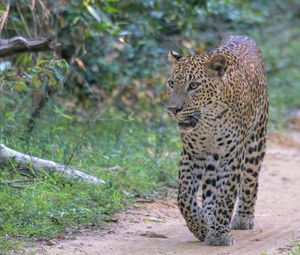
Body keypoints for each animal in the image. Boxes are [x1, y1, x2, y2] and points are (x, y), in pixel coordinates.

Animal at [165, 34, 268, 246]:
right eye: (171, 83)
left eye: (194, 85)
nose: (173, 109)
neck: (209, 120)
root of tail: (242, 35)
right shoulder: (192, 155)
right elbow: (184, 197)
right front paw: (202, 226)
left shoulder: (231, 156)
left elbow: (226, 196)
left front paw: (219, 236)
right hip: (212, 159)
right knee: (210, 189)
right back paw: (208, 215)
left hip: (256, 140)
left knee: (250, 180)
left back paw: (243, 218)